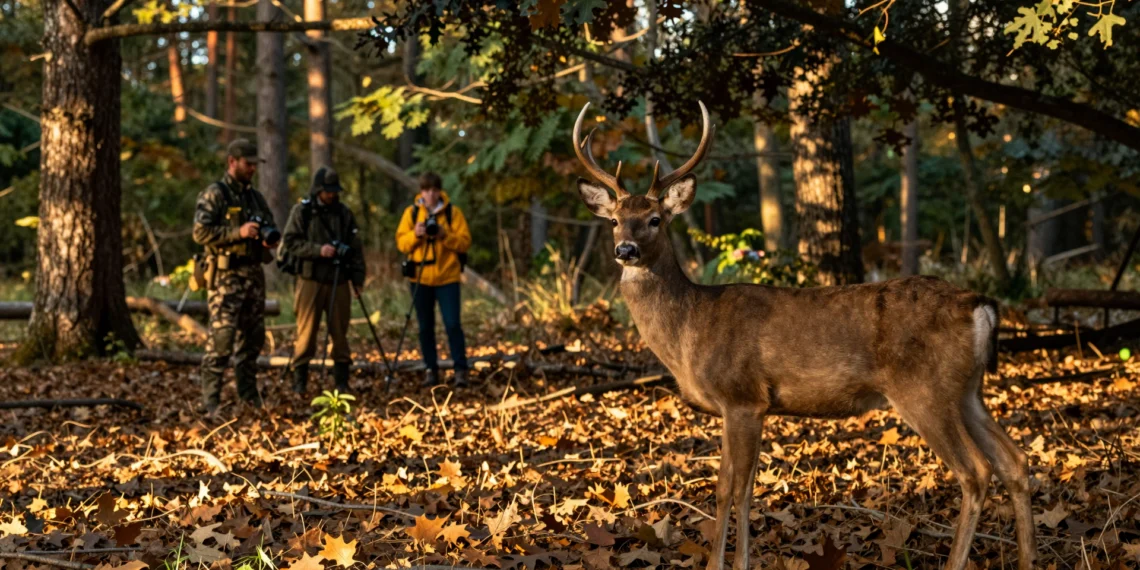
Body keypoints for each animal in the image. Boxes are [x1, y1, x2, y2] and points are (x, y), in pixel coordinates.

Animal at [570, 101, 1037, 570]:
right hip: (966, 390)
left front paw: (734, 562)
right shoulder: (738, 408)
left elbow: (737, 490)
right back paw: (1029, 558)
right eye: (615, 221)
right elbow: (729, 488)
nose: (625, 250)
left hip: (924, 388)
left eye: (654, 219)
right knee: (1014, 460)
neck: (690, 329)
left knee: (975, 471)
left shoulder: (743, 397)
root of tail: (980, 306)